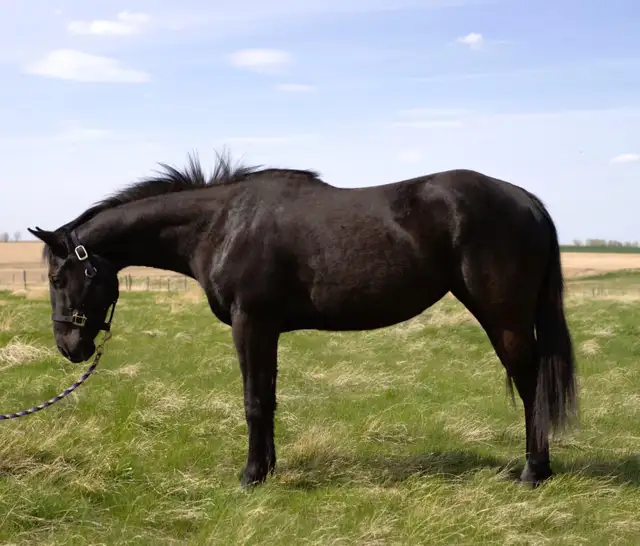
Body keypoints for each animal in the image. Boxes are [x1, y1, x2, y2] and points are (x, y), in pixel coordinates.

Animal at [28, 151, 577, 488]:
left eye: (57, 277)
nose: (69, 347)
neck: (221, 224)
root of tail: (527, 200)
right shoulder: (266, 330)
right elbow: (268, 400)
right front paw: (267, 469)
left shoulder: (252, 324)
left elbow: (253, 401)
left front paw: (250, 476)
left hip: (505, 319)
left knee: (532, 386)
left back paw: (534, 471)